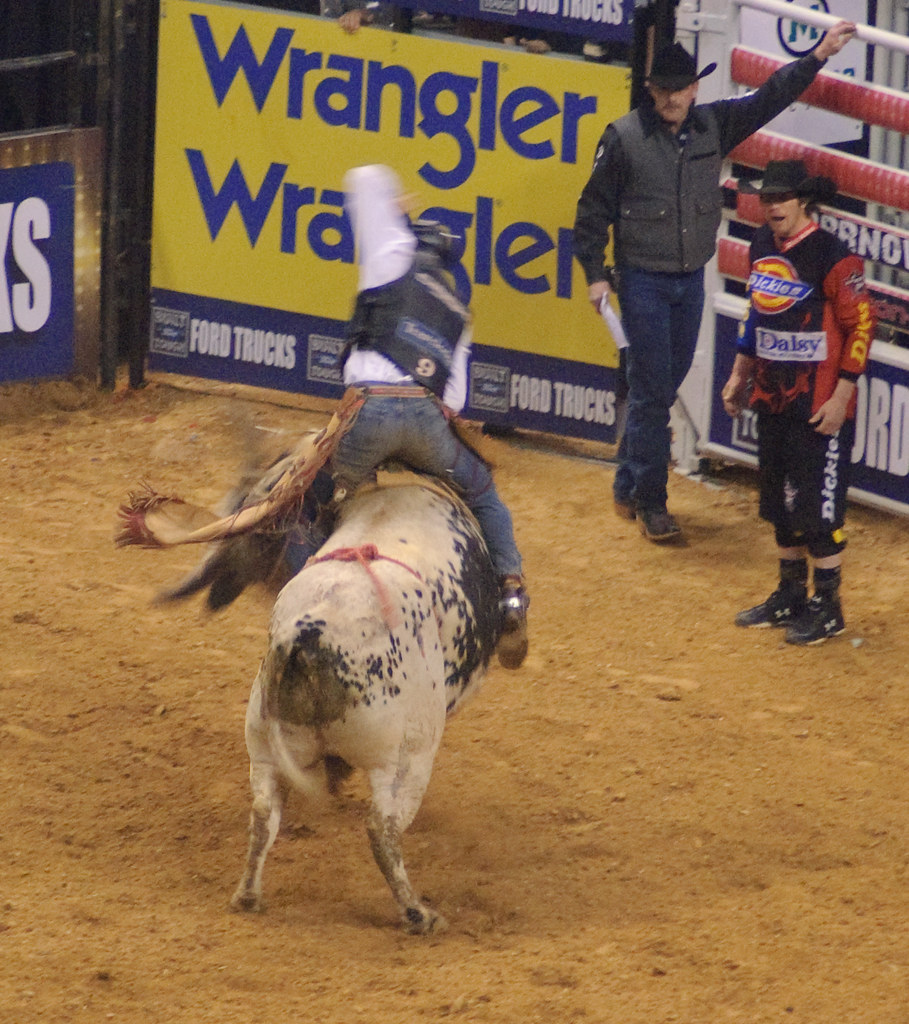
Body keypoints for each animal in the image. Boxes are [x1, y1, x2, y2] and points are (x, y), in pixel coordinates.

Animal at [223, 478, 500, 933]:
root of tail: (308, 637)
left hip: (262, 746)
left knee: (264, 812)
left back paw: (248, 895)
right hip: (404, 759)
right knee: (382, 831)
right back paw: (417, 914)